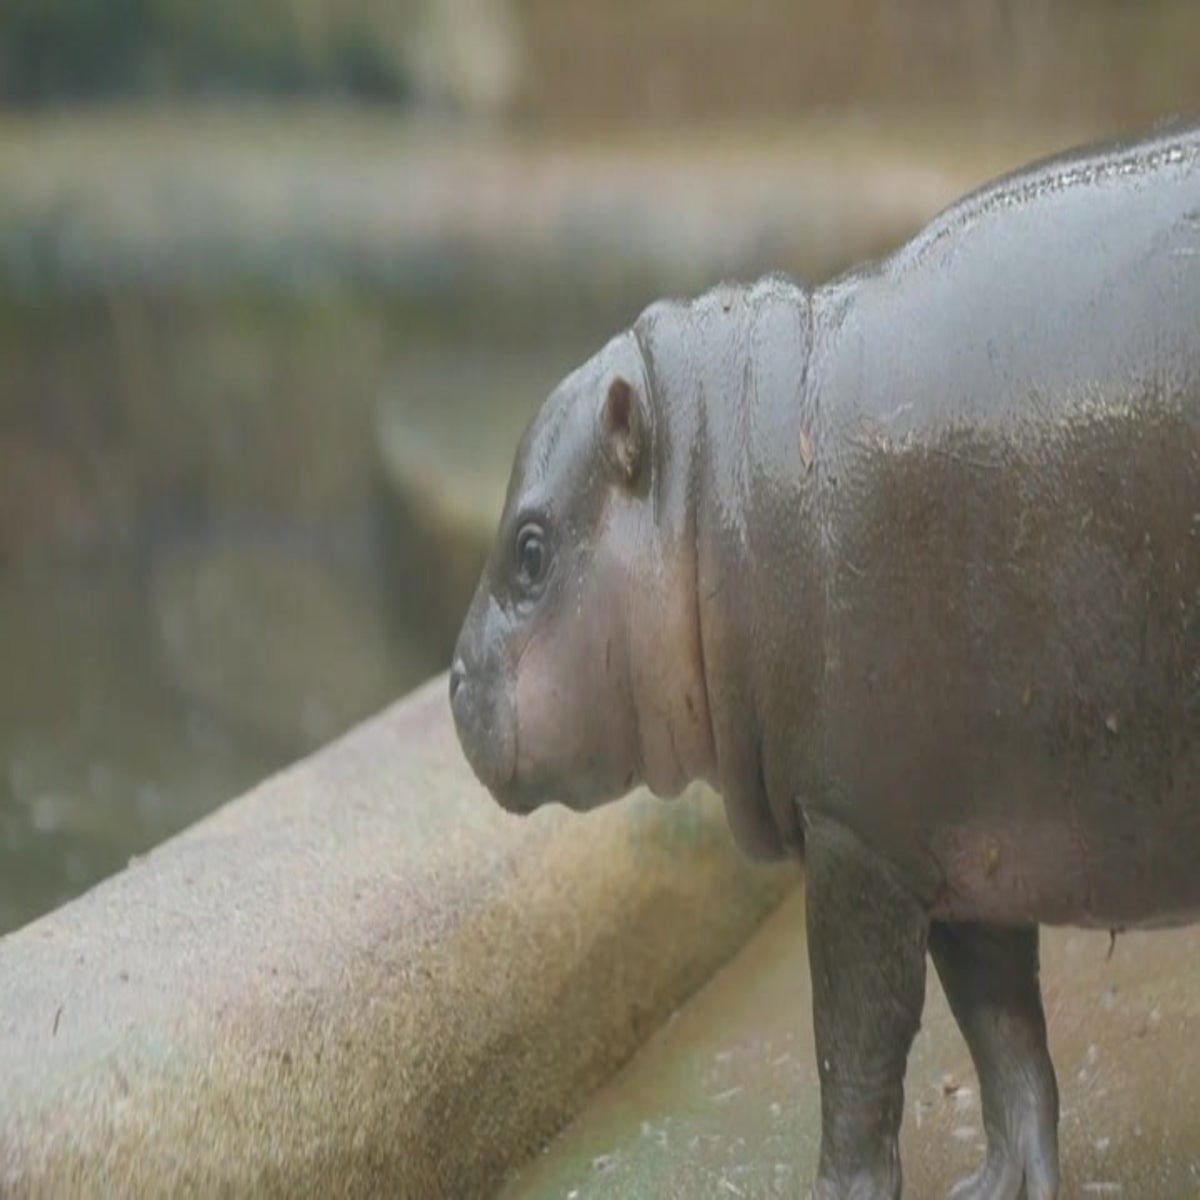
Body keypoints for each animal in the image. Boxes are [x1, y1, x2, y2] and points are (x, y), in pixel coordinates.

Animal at [448, 124, 1200, 1200]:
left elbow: (856, 1051)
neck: (719, 491)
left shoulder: (857, 838)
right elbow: (1005, 1038)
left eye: (532, 549)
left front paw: (842, 1190)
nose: (455, 682)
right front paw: (994, 1188)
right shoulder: (957, 846)